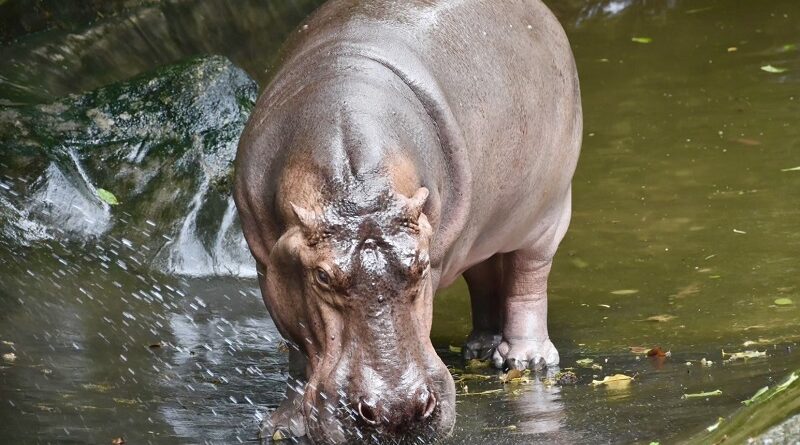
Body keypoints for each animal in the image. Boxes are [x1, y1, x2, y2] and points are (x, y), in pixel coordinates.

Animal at [234, 0, 581, 442]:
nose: (397, 412)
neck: (356, 193)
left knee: (529, 277)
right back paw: (480, 349)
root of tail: (542, 12)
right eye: (322, 277)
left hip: (548, 212)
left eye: (421, 265)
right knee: (484, 276)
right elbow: (297, 347)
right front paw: (283, 428)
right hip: (478, 232)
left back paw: (526, 361)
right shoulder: (268, 267)